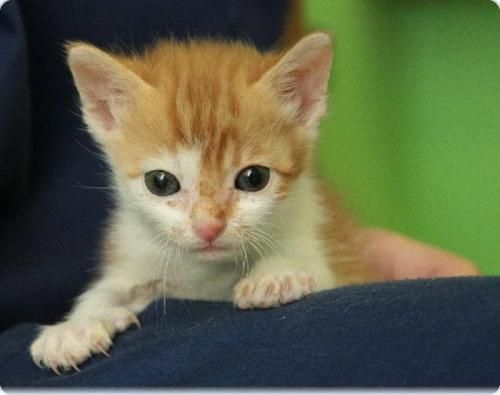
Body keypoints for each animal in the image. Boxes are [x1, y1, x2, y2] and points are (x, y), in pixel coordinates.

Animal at [29, 31, 376, 374]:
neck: (207, 273)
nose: (209, 227)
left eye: (254, 178)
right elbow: (106, 290)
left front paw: (278, 274)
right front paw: (74, 328)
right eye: (161, 182)